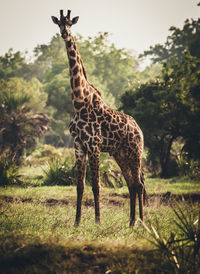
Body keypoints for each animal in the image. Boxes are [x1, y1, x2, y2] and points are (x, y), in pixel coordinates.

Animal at [51, 9, 145, 227]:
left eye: (70, 23)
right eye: (59, 23)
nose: (64, 33)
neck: (79, 101)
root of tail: (139, 129)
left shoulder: (93, 145)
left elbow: (96, 186)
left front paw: (97, 221)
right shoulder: (78, 145)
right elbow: (80, 186)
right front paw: (77, 222)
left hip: (135, 151)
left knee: (139, 183)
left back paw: (142, 222)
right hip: (120, 153)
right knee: (132, 184)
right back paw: (131, 222)